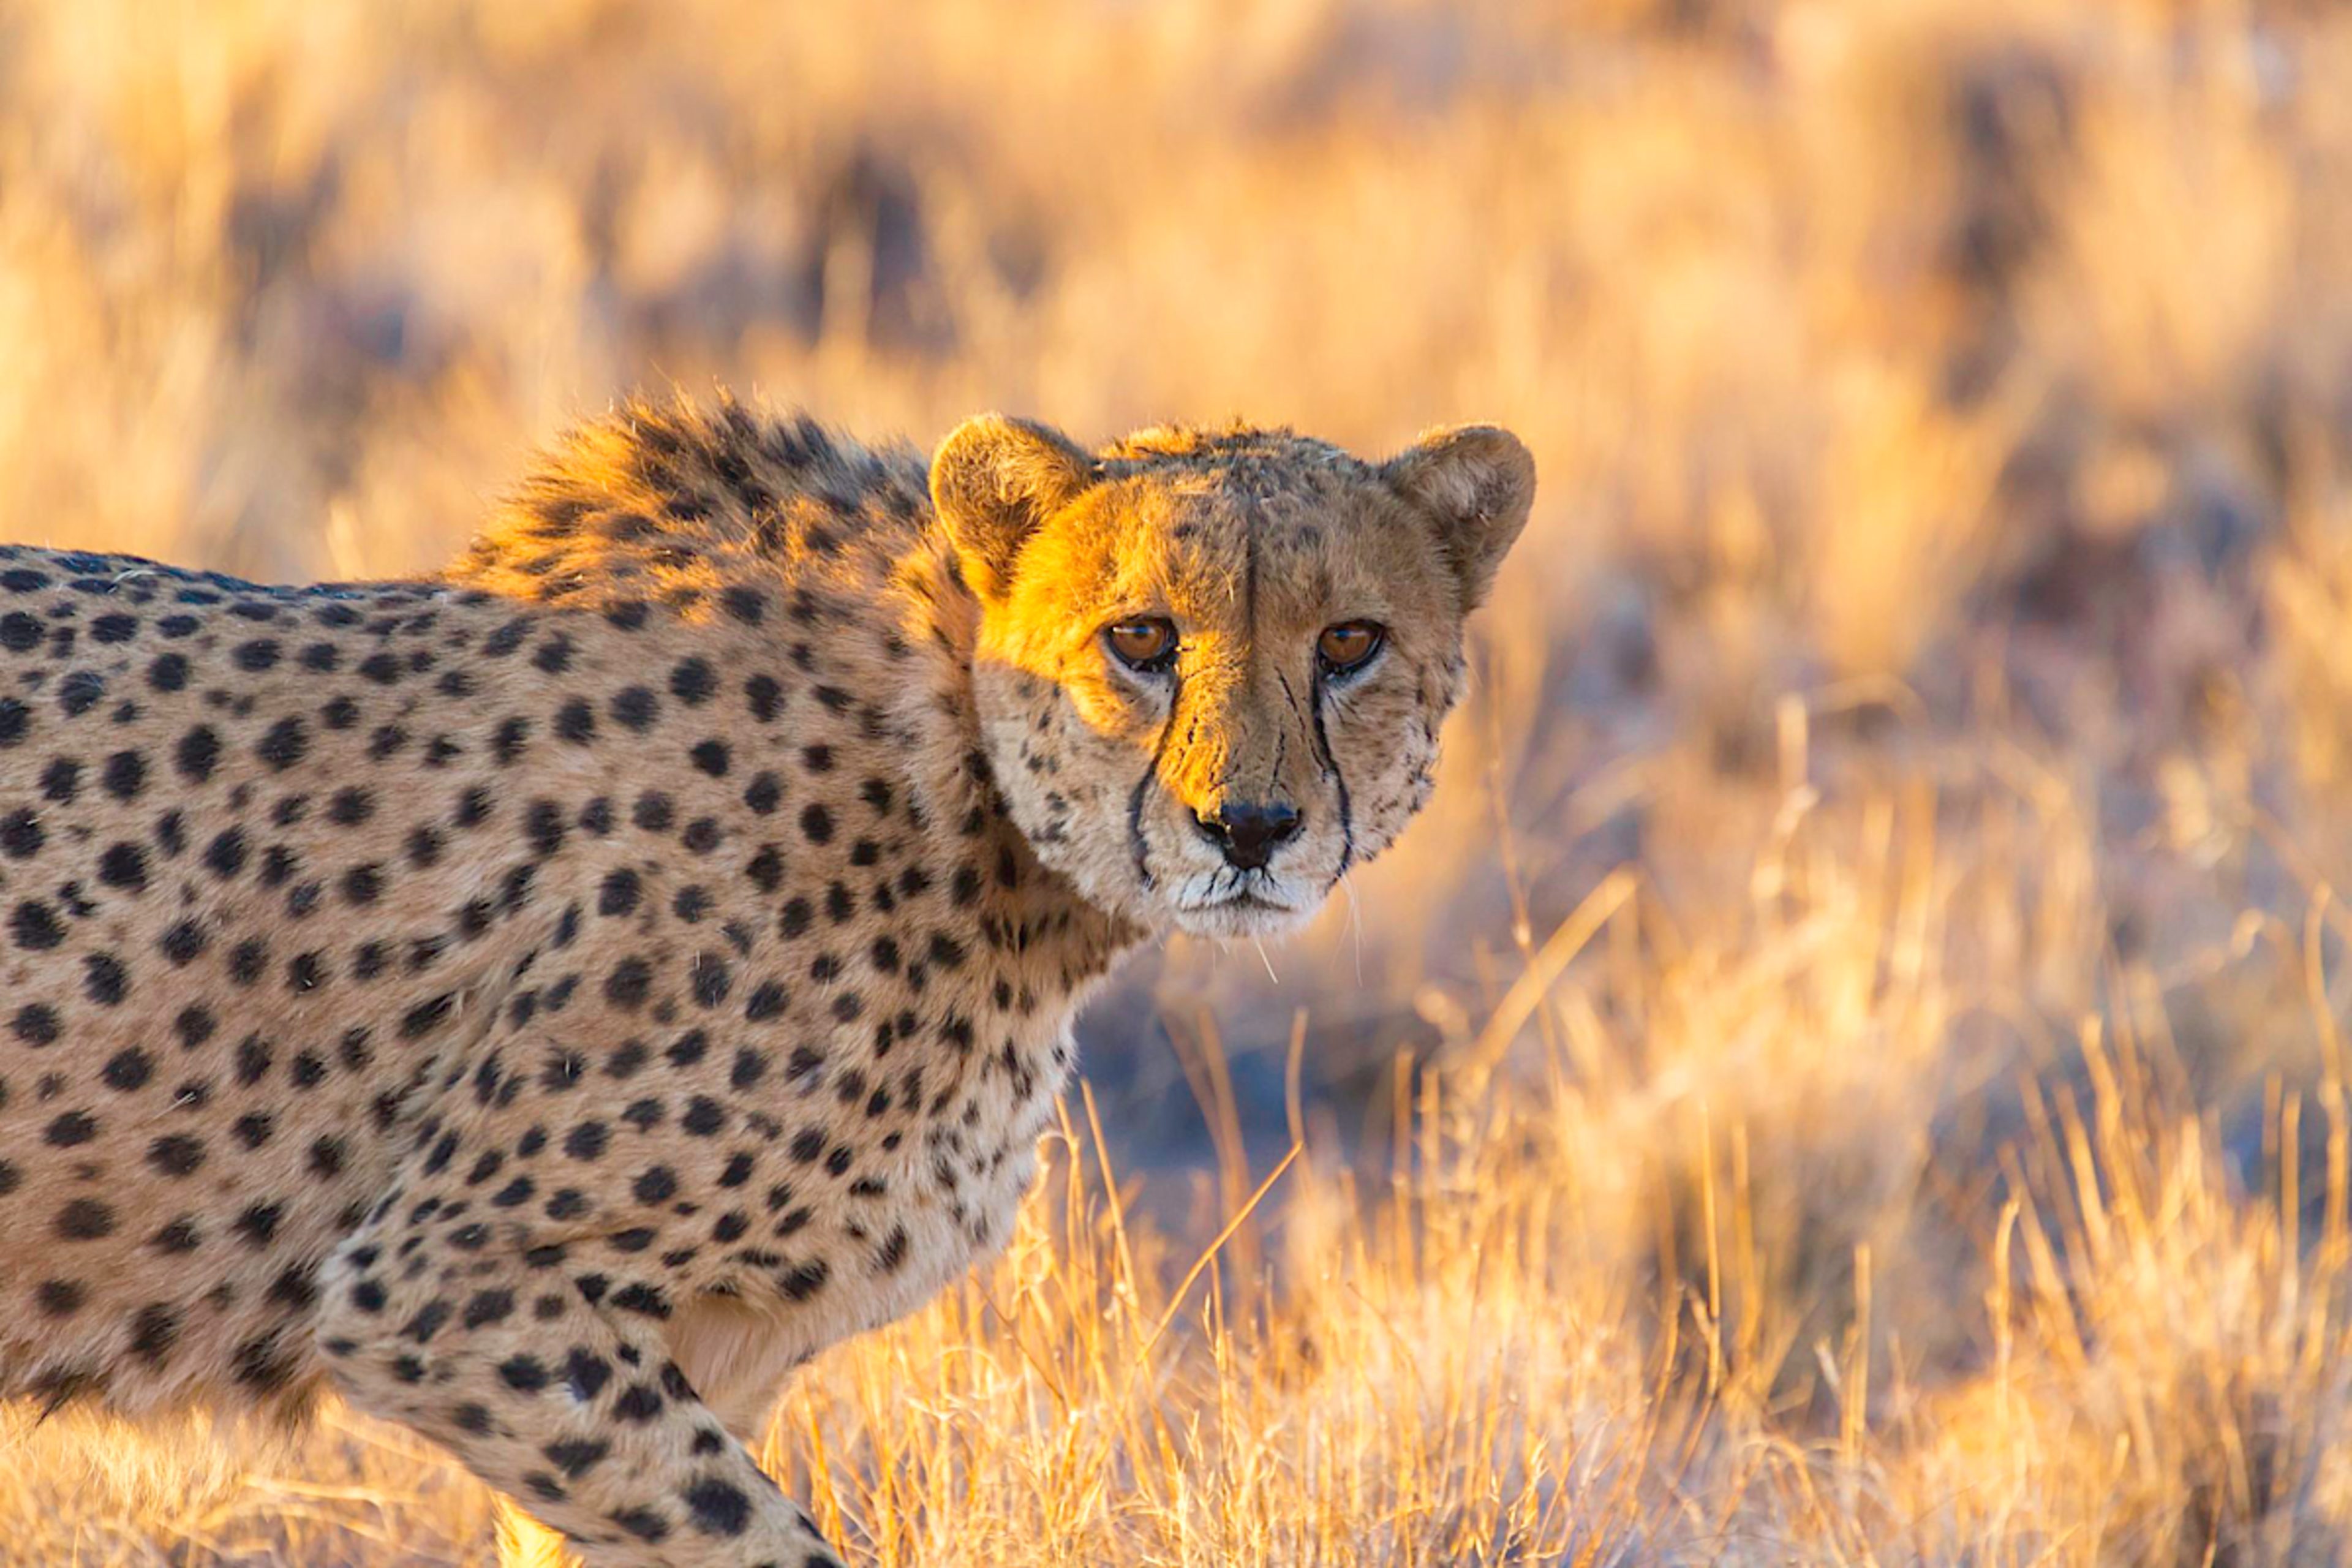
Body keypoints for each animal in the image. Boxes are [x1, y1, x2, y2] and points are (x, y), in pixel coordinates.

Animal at [0, 395, 1534, 1567]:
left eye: (1351, 642)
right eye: (1141, 638)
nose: (1252, 826)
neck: (958, 782)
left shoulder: (665, 1352)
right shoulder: (446, 1288)